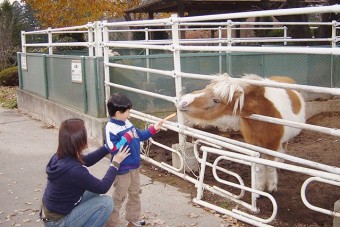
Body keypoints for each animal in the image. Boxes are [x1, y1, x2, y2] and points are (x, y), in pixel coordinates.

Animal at [178, 74, 306, 193]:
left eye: (216, 100)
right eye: (206, 88)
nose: (183, 102)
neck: (266, 112)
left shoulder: (272, 146)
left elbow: (269, 167)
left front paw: (271, 187)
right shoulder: (254, 145)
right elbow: (259, 166)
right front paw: (259, 188)